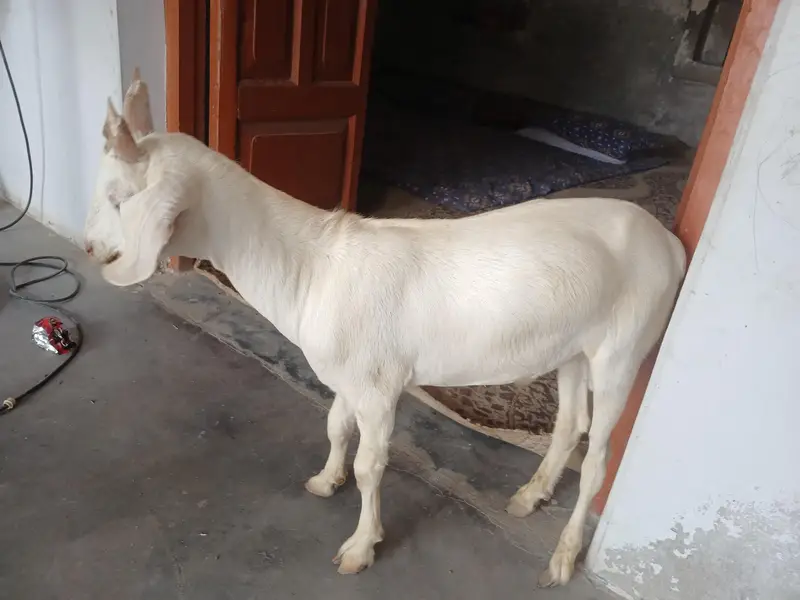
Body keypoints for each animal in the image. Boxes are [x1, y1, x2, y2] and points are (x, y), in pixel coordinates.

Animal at [84, 71, 686, 587]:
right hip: (574, 348)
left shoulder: (378, 386)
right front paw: (325, 480)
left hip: (624, 349)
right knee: (570, 425)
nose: (90, 248)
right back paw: (527, 496)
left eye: (118, 198)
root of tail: (670, 244)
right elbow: (335, 428)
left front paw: (360, 547)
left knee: (600, 460)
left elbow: (371, 465)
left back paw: (561, 558)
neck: (314, 267)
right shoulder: (349, 376)